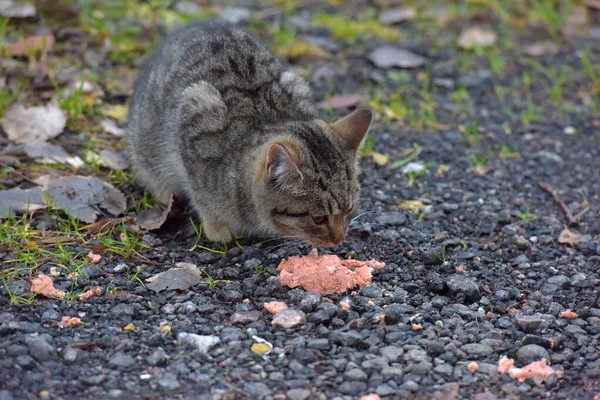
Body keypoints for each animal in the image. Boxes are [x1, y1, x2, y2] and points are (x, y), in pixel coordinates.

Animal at [126, 21, 370, 247]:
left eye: (349, 210)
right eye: (318, 218)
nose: (339, 239)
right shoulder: (195, 117)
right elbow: (201, 196)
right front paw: (217, 228)